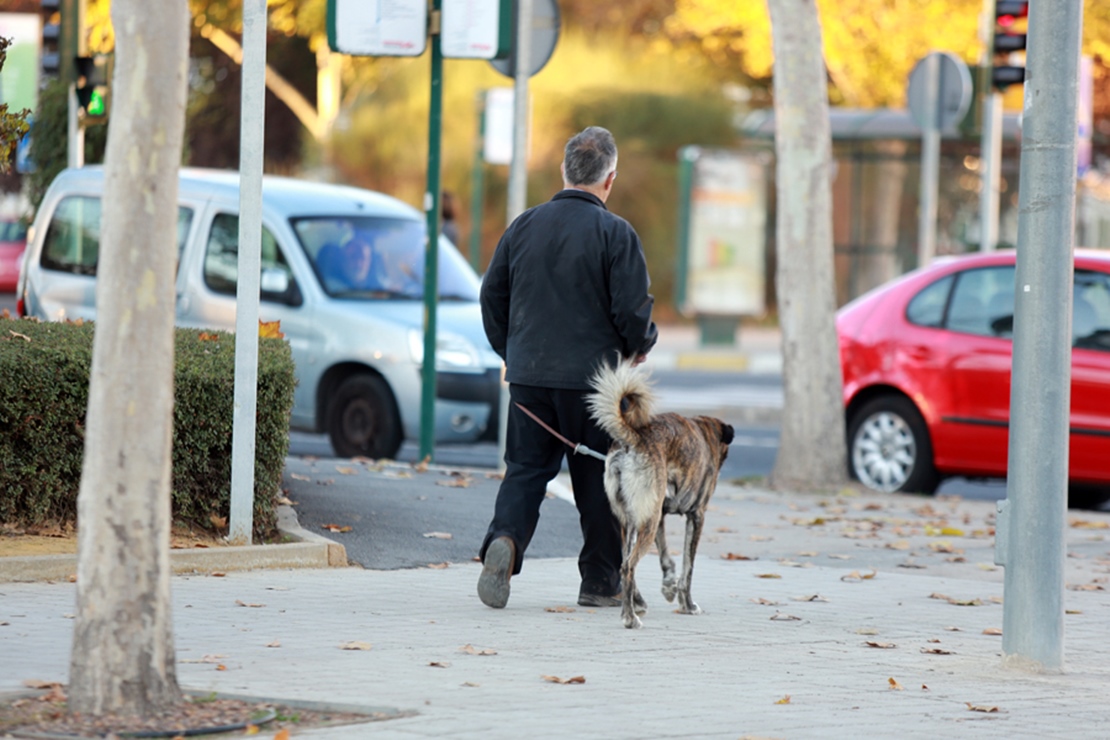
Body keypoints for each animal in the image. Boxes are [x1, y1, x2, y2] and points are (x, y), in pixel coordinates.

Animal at [586, 361, 732, 630]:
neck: (704, 431)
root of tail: (633, 438)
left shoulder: (660, 514)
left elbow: (667, 559)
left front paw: (668, 587)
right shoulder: (696, 516)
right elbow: (688, 568)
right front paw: (687, 604)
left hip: (634, 521)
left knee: (624, 563)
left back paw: (637, 604)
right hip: (647, 523)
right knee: (628, 566)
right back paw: (630, 618)